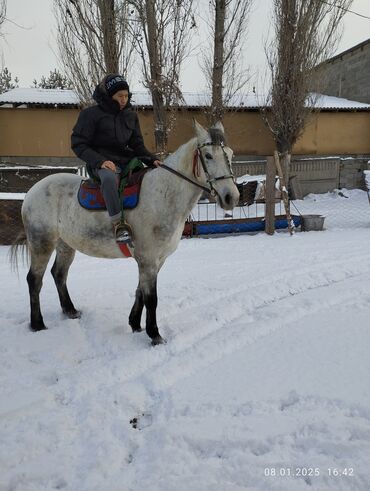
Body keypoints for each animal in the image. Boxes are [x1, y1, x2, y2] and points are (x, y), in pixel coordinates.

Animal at [10, 120, 240, 346]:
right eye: (208, 155)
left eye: (230, 154)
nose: (231, 197)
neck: (163, 194)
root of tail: (32, 191)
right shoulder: (148, 258)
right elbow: (151, 298)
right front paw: (155, 335)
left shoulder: (156, 259)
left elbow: (140, 292)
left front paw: (135, 324)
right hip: (42, 242)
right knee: (34, 280)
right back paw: (37, 324)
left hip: (66, 245)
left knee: (59, 274)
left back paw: (70, 310)